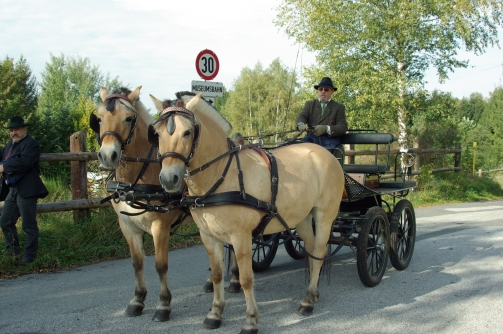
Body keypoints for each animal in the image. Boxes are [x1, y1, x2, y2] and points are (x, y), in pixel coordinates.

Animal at [149, 92, 346, 334]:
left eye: (187, 132)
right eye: (157, 134)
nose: (169, 179)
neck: (221, 172)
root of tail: (325, 153)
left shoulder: (241, 236)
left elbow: (245, 279)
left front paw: (251, 320)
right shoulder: (208, 236)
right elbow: (216, 275)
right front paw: (215, 313)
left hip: (324, 214)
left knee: (319, 251)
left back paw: (307, 300)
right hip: (302, 216)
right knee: (310, 250)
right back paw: (313, 291)